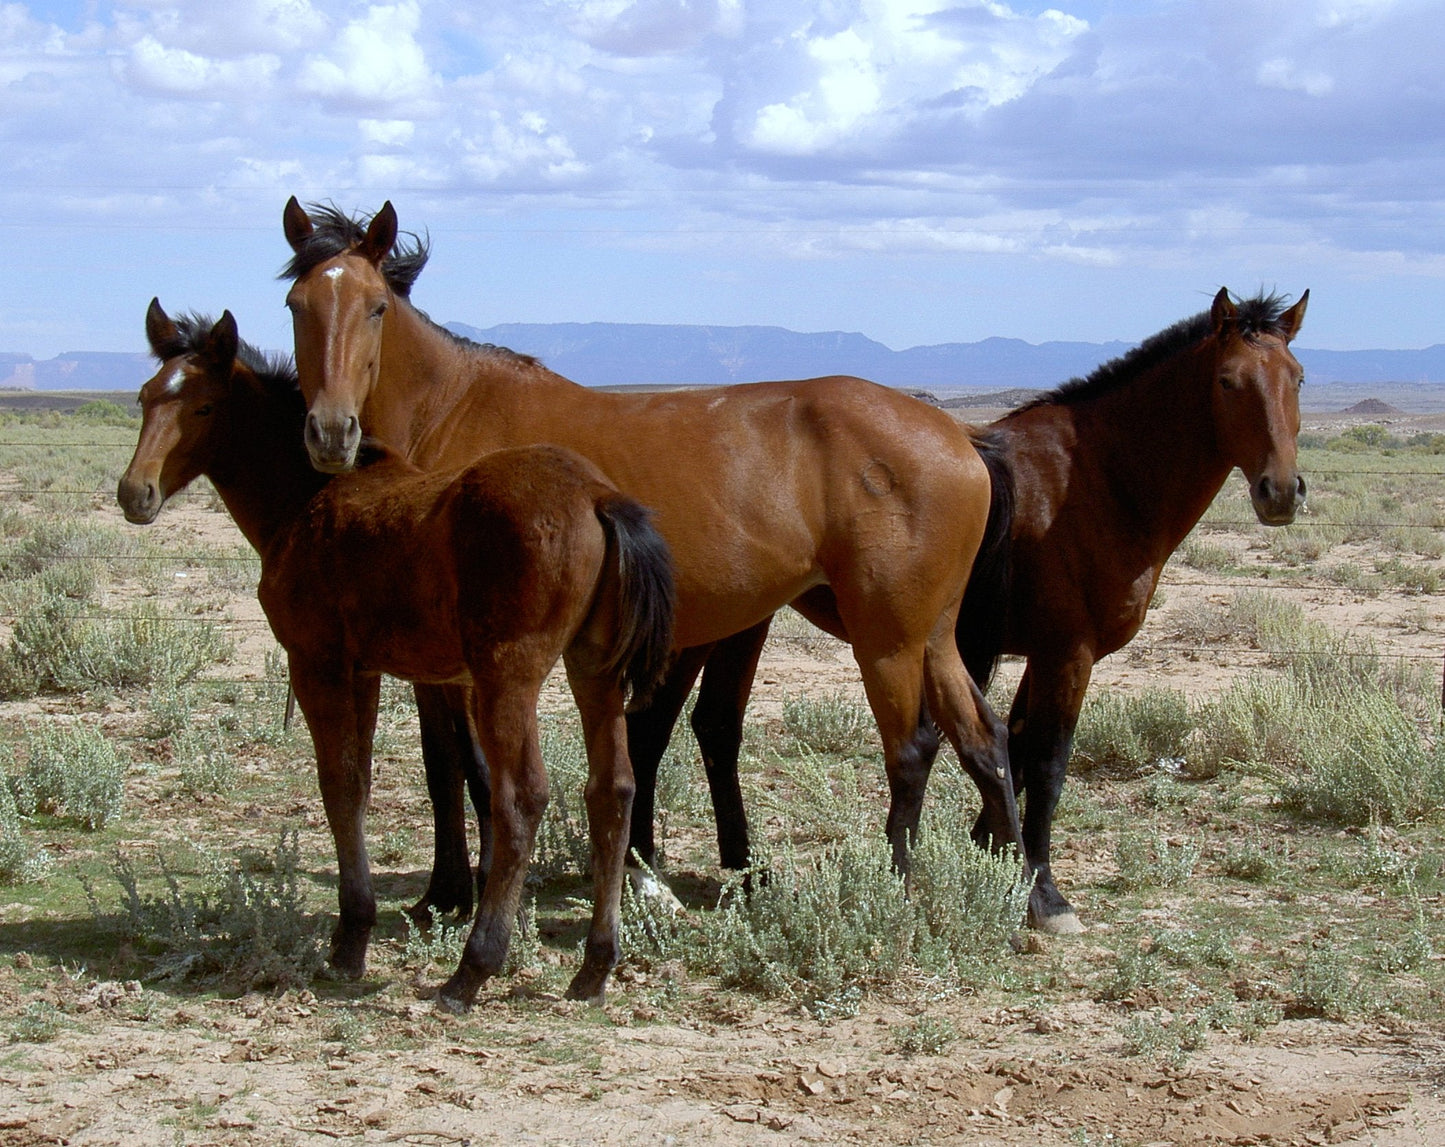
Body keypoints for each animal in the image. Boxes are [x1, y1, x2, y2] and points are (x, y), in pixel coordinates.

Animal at [114, 299, 676, 1005]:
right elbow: (359, 782)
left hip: (508, 675)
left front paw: (350, 941)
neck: (307, 500)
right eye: (144, 398)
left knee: (522, 798)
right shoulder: (367, 672)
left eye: (205, 407)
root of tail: (598, 497)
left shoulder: (316, 663)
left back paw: (472, 969)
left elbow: (339, 784)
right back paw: (594, 968)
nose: (135, 493)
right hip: (593, 670)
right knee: (613, 790)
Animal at [278, 195, 1028, 912]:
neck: (454, 416)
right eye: (296, 305)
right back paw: (1030, 893)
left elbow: (463, 769)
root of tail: (961, 436)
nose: (330, 433)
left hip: (886, 637)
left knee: (910, 750)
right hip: (931, 634)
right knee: (983, 737)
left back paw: (900, 889)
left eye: (376, 307)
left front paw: (460, 894)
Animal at [632, 283, 1312, 930]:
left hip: (746, 622)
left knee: (712, 726)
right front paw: (1041, 889)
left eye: (1298, 378)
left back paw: (735, 874)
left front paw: (997, 851)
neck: (1094, 480)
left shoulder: (1038, 655)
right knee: (656, 726)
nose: (1280, 492)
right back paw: (650, 874)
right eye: (1228, 382)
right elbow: (1047, 761)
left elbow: (1012, 748)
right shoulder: (1068, 654)